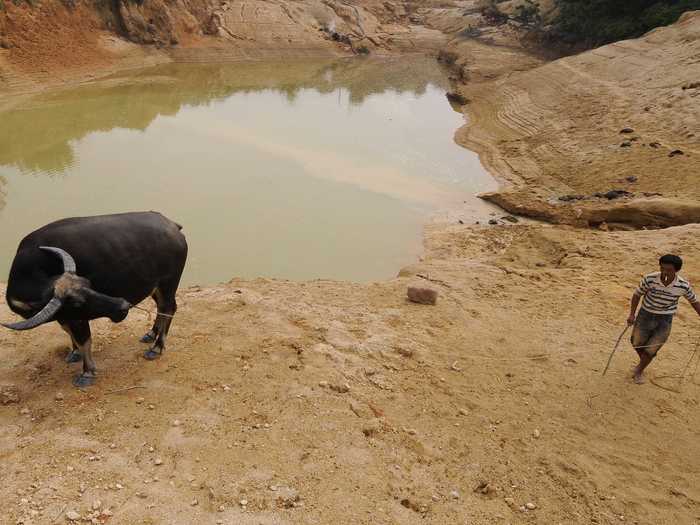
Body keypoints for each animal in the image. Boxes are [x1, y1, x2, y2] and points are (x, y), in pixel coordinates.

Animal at [1, 211, 187, 386]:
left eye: (88, 284)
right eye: (76, 303)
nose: (123, 305)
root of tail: (173, 226)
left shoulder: (79, 319)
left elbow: (85, 341)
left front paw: (87, 373)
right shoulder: (65, 316)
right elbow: (70, 333)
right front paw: (74, 353)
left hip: (168, 283)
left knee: (169, 308)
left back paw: (157, 347)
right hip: (155, 286)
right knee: (161, 307)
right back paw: (151, 334)